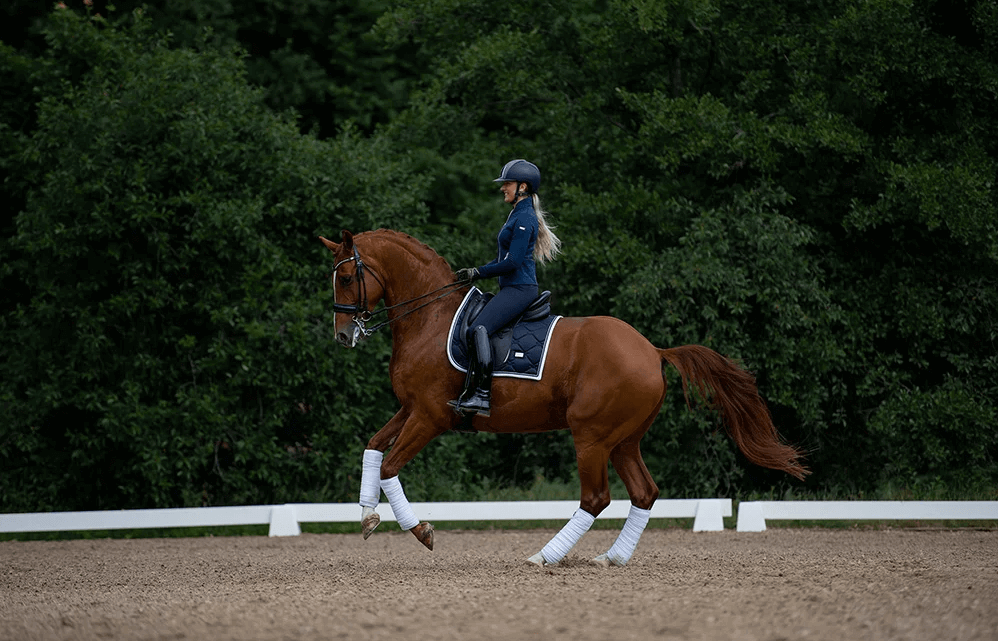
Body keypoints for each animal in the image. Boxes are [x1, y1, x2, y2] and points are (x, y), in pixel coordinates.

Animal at [319, 229, 808, 566]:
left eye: (345, 276)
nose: (342, 335)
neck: (430, 318)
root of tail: (652, 350)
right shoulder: (410, 409)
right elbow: (373, 448)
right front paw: (367, 518)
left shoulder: (430, 416)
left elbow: (391, 465)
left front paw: (421, 531)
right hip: (623, 440)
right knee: (644, 492)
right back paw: (612, 558)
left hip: (591, 435)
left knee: (596, 498)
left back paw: (545, 556)